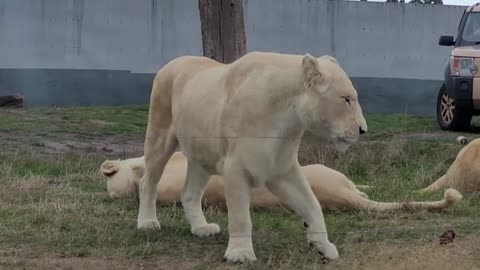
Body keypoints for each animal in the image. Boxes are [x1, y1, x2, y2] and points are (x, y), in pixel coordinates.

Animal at [135, 51, 368, 262]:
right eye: (346, 99)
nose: (363, 130)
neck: (288, 120)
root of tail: (172, 62)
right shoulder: (236, 168)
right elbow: (240, 216)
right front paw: (241, 253)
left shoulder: (282, 170)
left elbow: (312, 204)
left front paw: (323, 246)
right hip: (159, 137)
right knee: (148, 181)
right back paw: (147, 223)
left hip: (201, 157)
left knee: (189, 193)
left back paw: (202, 228)